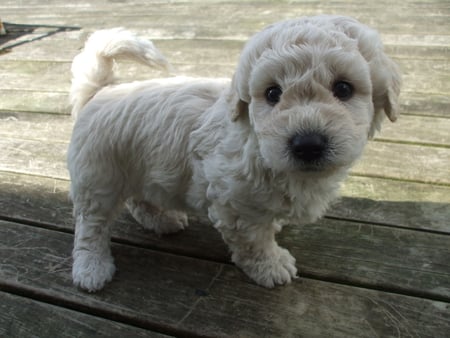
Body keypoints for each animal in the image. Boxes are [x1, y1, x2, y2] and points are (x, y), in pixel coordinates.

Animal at [67, 15, 400, 292]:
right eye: (272, 93)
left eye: (343, 88)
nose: (307, 144)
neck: (256, 141)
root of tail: (101, 90)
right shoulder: (237, 205)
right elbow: (255, 242)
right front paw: (272, 266)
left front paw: (275, 227)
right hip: (98, 176)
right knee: (91, 225)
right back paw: (91, 268)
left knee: (139, 199)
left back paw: (162, 220)